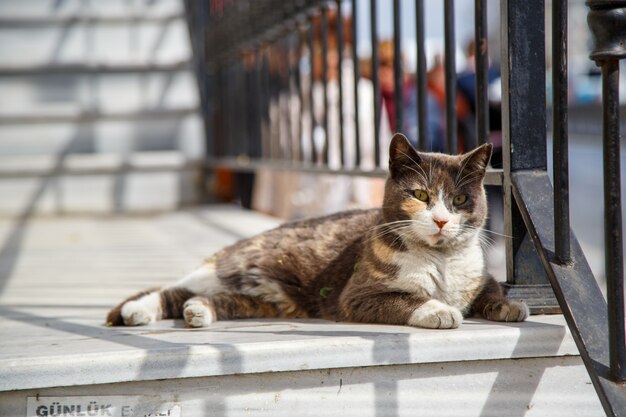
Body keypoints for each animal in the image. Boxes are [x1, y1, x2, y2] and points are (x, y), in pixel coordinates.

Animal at [107, 133, 528, 328]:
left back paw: (198, 311)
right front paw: (439, 310)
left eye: (459, 199)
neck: (440, 260)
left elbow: (490, 289)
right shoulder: (357, 296)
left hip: (269, 300)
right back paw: (136, 310)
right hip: (235, 264)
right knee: (175, 286)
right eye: (421, 195)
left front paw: (511, 305)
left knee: (209, 297)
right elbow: (406, 300)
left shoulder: (479, 274)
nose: (441, 220)